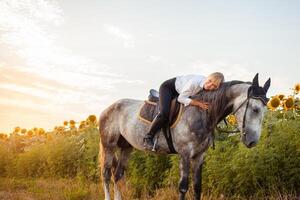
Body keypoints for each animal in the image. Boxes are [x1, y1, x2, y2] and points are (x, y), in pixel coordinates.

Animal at [98, 73, 270, 200]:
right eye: (255, 109)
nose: (252, 141)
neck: (202, 113)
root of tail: (107, 108)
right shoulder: (185, 154)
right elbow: (183, 187)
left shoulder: (199, 156)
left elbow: (197, 187)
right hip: (109, 146)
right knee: (106, 175)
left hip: (126, 147)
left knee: (117, 175)